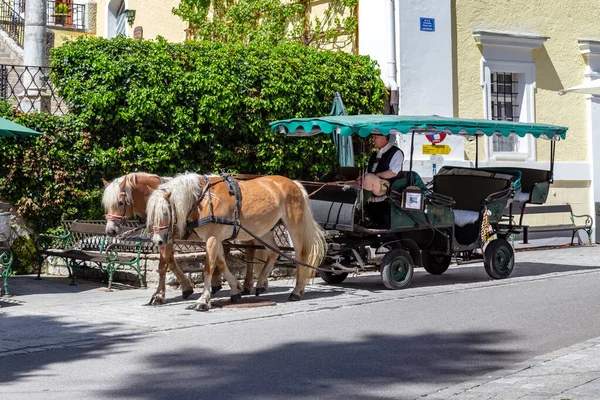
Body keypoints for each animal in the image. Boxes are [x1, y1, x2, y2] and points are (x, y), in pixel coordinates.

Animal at [148, 172, 328, 312]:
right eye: (151, 214)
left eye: (165, 212)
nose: (157, 241)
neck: (204, 199)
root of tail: (294, 183)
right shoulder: (216, 239)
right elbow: (221, 263)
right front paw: (235, 289)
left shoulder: (213, 238)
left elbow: (208, 268)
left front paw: (203, 301)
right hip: (264, 230)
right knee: (273, 252)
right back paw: (260, 283)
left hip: (294, 226)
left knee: (301, 255)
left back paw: (297, 291)